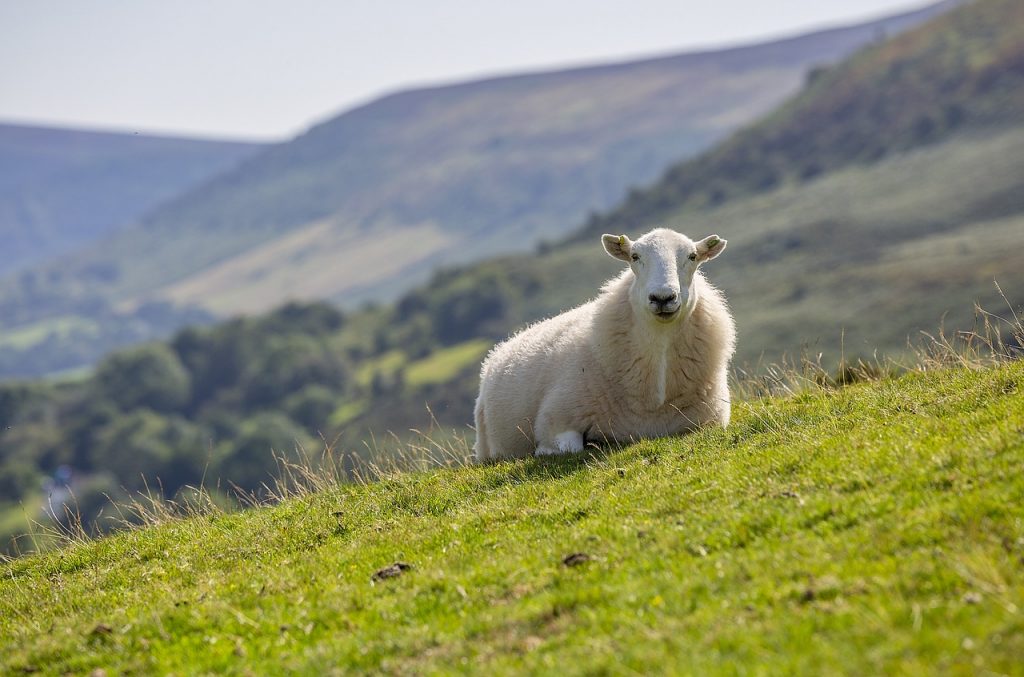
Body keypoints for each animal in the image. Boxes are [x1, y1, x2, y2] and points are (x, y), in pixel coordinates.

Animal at [473, 227, 736, 461]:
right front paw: (547, 451)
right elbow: (568, 447)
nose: (663, 298)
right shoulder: (555, 419)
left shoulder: (711, 421)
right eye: (634, 256)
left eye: (692, 256)